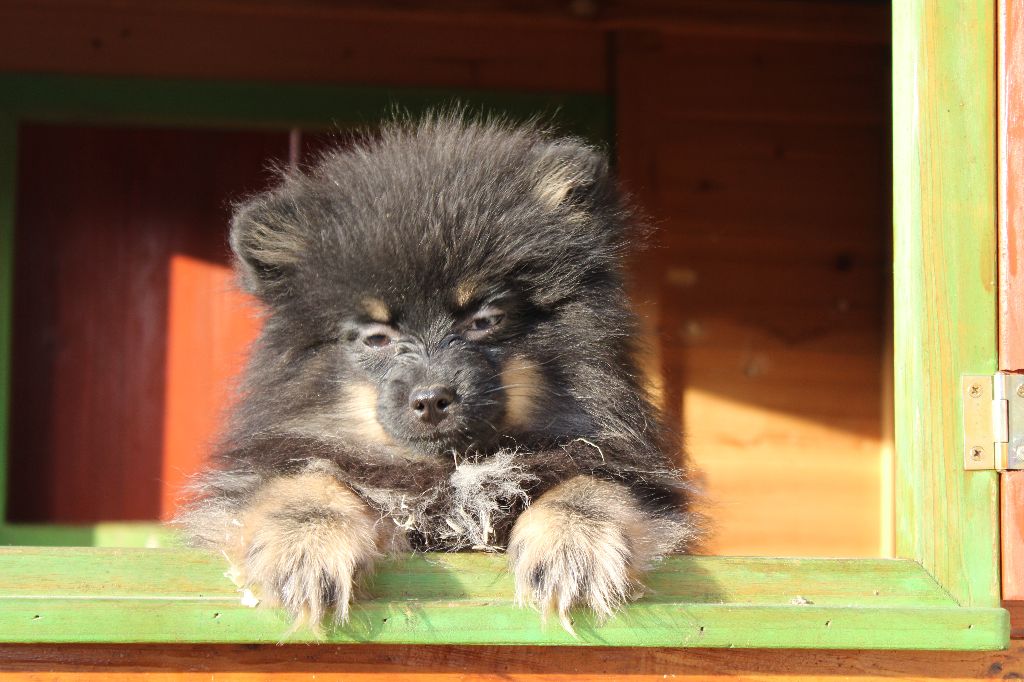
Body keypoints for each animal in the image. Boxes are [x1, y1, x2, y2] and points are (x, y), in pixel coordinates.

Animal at [178, 112, 704, 630]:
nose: (431, 398)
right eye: (377, 337)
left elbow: (593, 483)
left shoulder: (622, 466)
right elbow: (307, 477)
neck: (447, 471)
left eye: (484, 320)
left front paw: (575, 545)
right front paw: (304, 544)